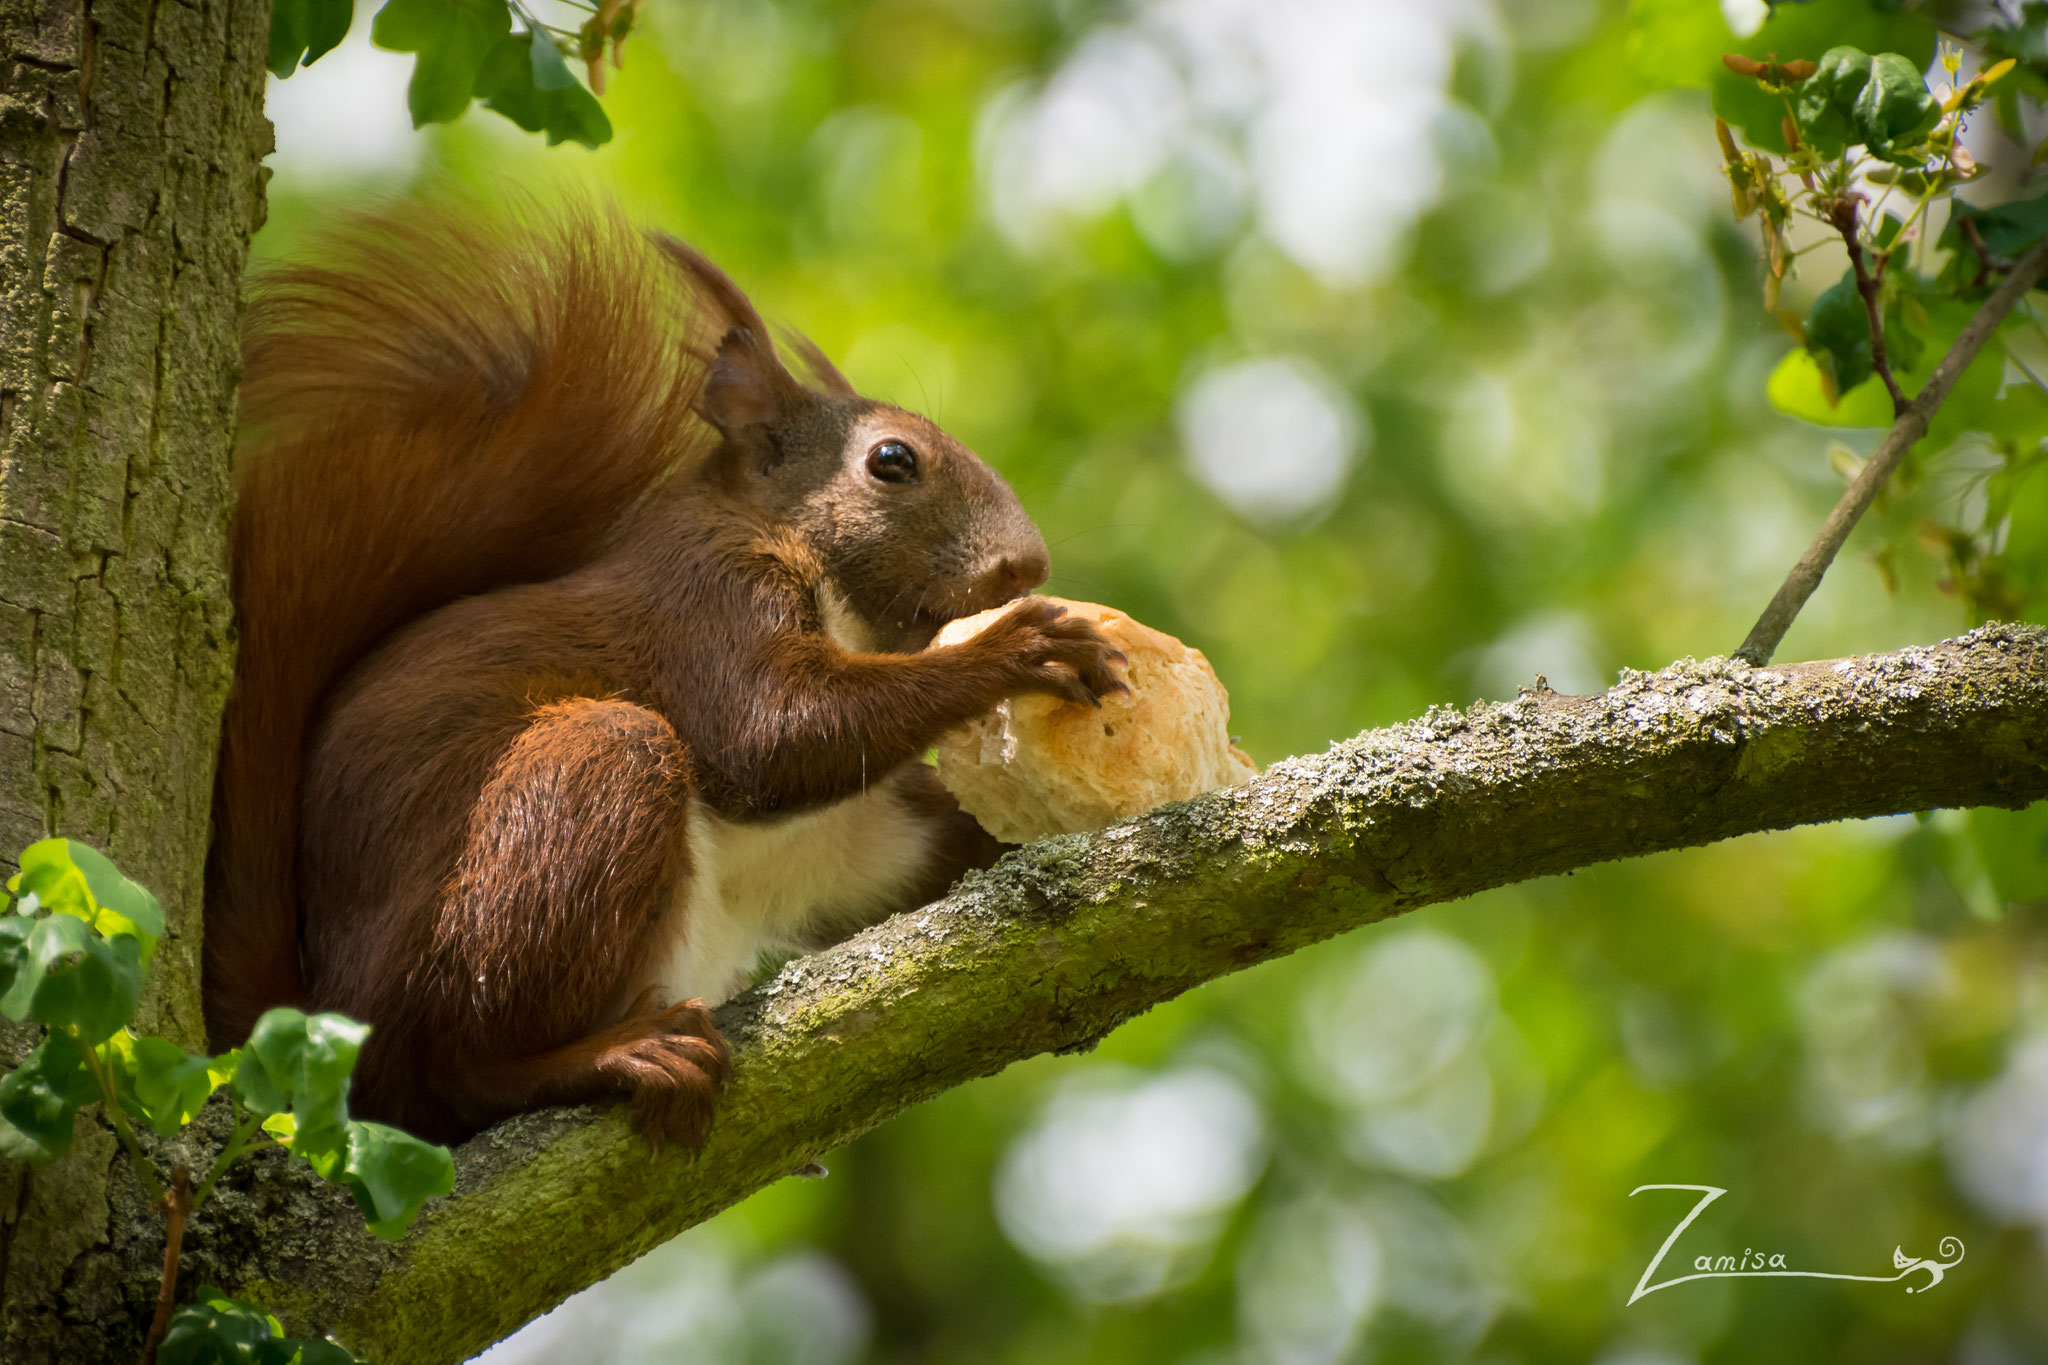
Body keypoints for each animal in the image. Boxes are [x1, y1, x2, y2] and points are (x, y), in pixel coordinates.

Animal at [202, 206, 1128, 1147]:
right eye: (893, 461)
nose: (1026, 566)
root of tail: (333, 1013)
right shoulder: (709, 602)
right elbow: (771, 735)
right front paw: (1018, 646)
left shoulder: (878, 826)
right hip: (570, 801)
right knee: (452, 1069)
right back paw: (601, 1057)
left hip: (840, 851)